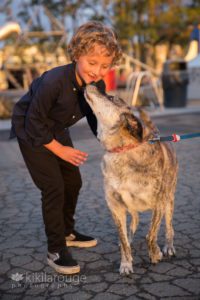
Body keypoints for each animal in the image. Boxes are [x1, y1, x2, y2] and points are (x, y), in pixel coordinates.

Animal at [83, 83, 177, 276]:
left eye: (111, 98)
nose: (92, 84)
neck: (122, 150)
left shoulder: (158, 203)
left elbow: (151, 234)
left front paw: (155, 253)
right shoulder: (116, 206)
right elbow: (123, 238)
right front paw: (126, 263)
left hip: (169, 200)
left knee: (169, 225)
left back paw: (168, 246)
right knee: (134, 221)